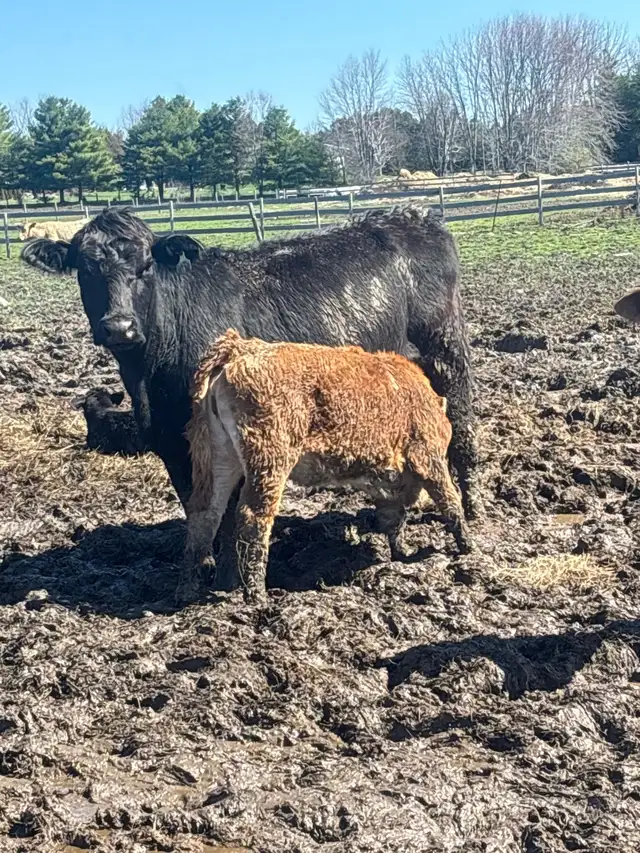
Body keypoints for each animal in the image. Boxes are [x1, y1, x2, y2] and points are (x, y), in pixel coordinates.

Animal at [20, 205, 476, 536]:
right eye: (85, 270)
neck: (151, 378)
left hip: (446, 354)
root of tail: (413, 216)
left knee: (463, 430)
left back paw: (470, 508)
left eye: (145, 266)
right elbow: (197, 505)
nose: (119, 327)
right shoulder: (170, 440)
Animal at [182, 330, 470, 602]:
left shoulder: (386, 486)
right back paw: (256, 593)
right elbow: (450, 502)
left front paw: (403, 552)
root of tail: (241, 349)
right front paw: (468, 546)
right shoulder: (428, 457)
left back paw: (189, 588)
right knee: (253, 517)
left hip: (217, 458)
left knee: (205, 514)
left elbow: (393, 519)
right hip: (269, 461)